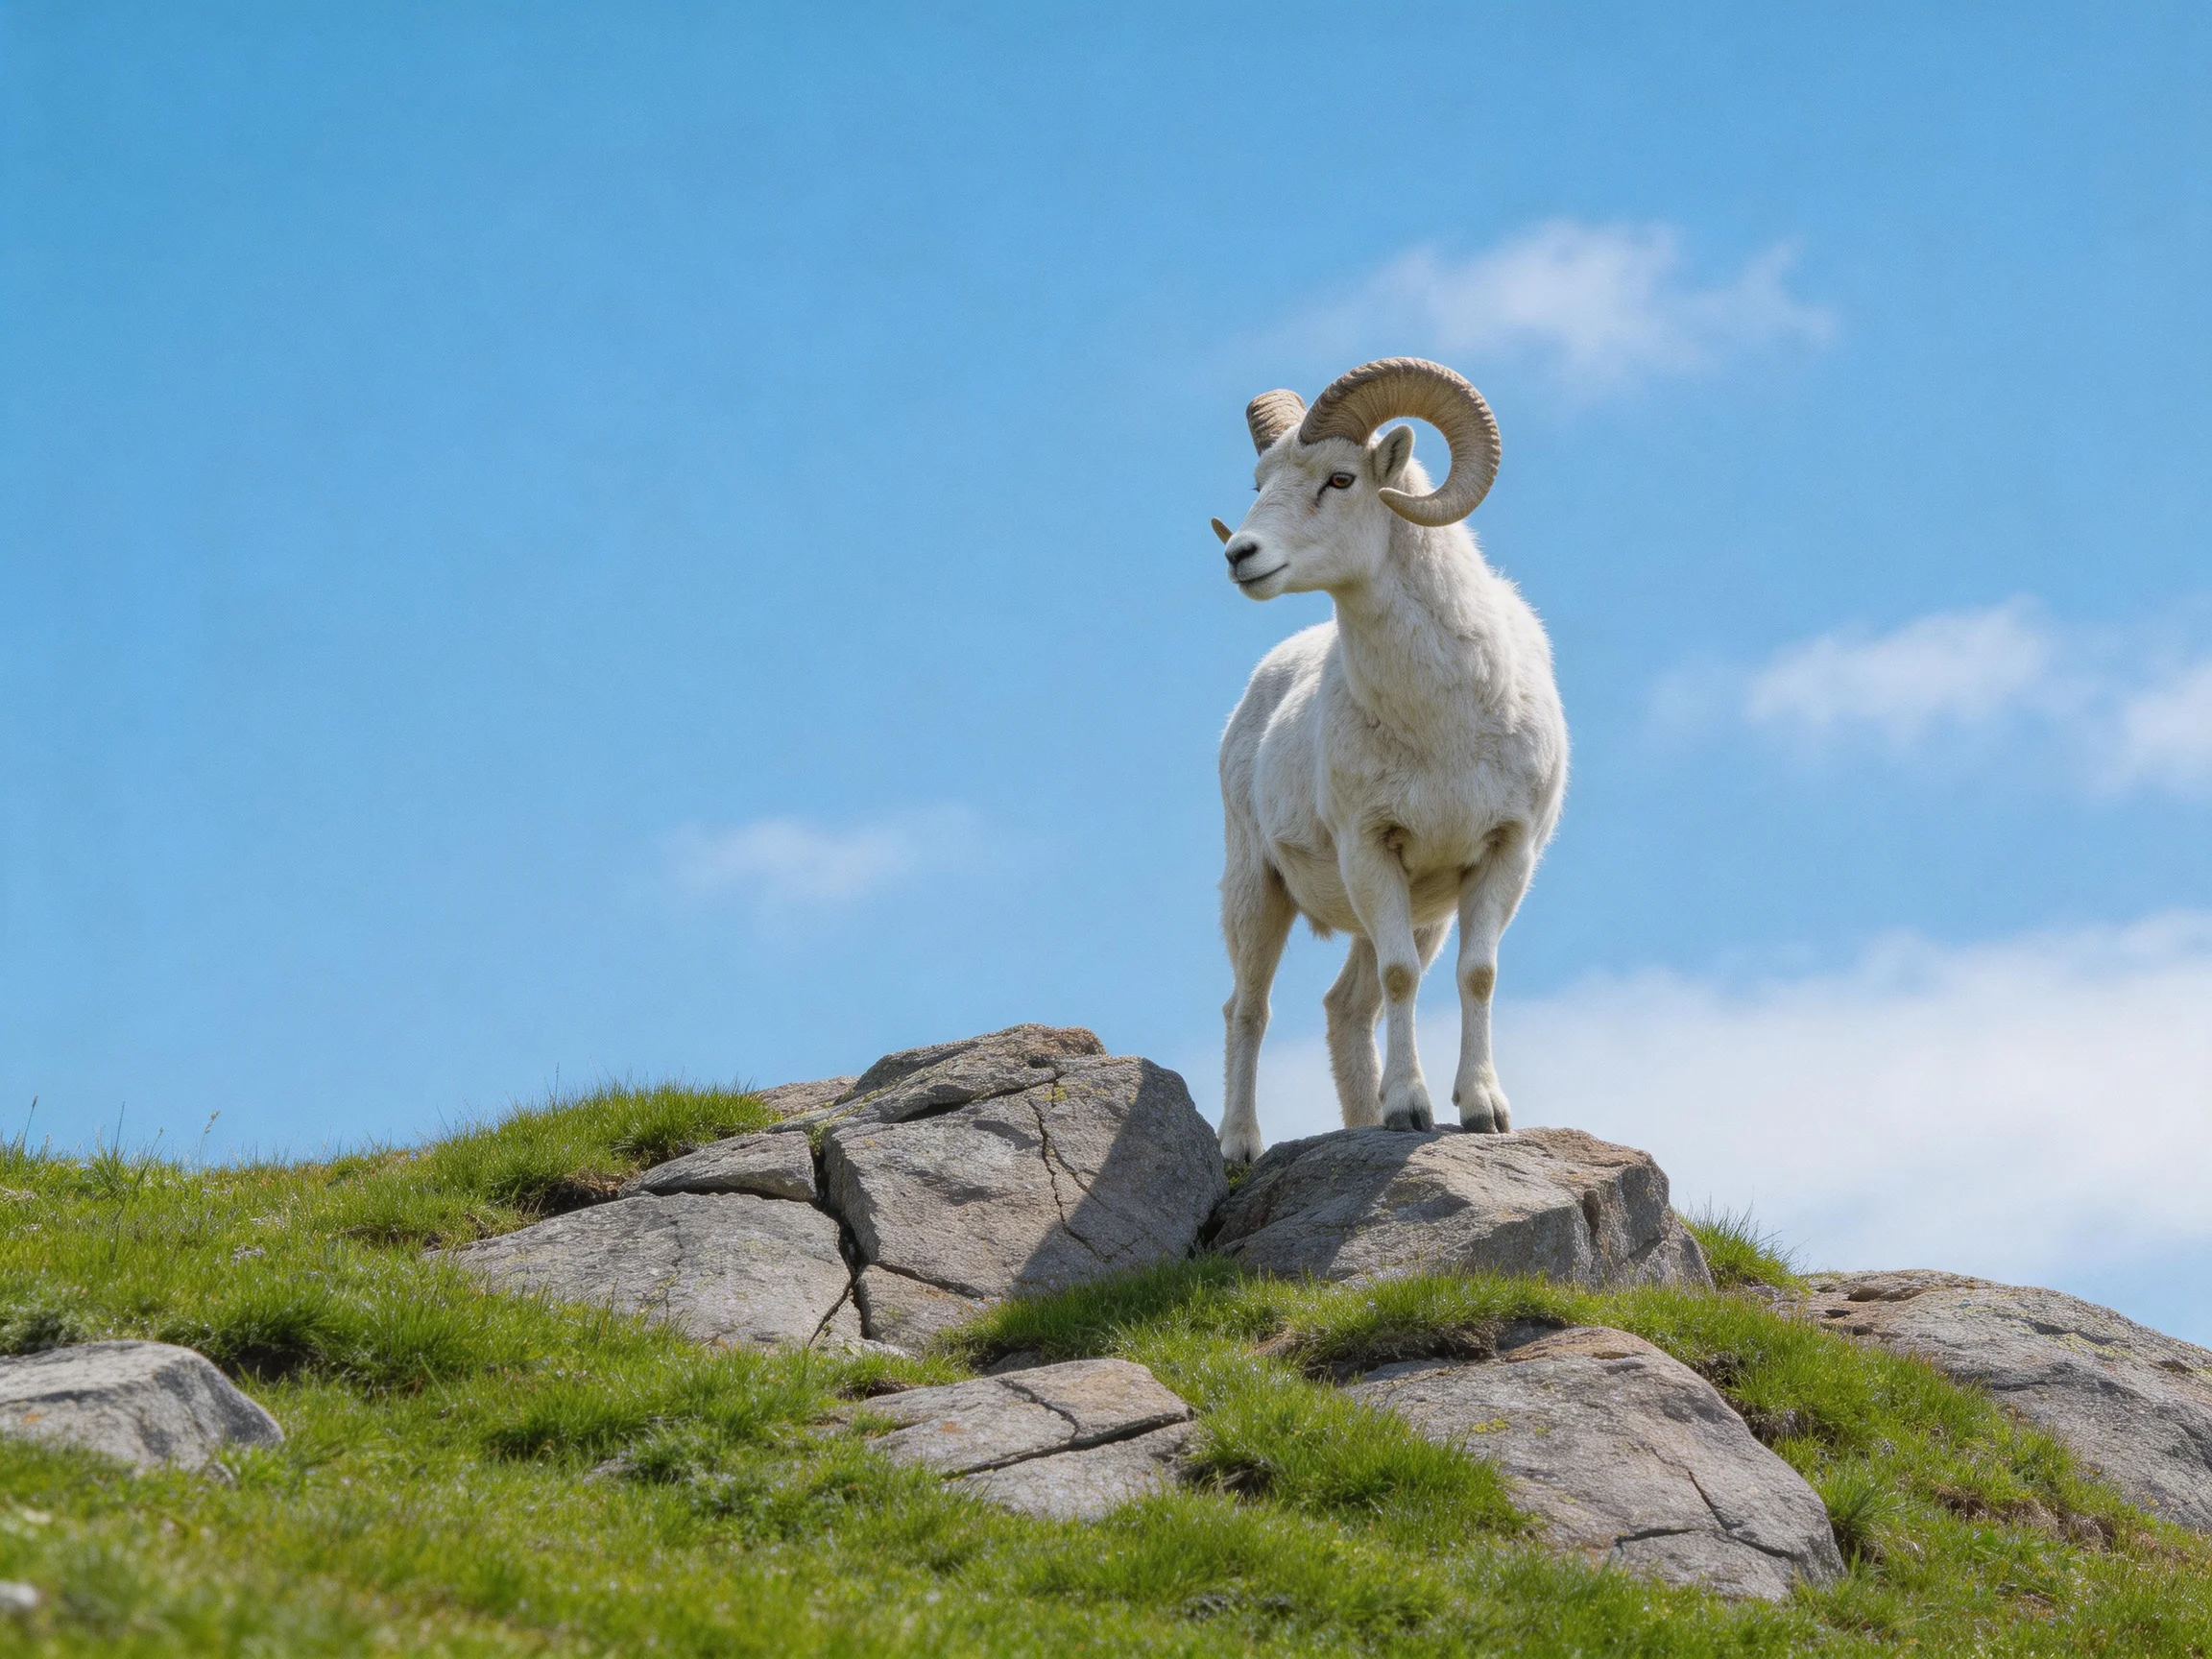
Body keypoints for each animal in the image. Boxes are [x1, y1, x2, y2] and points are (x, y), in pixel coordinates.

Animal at [1210, 358, 1568, 1163]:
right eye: (1260, 480)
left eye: (1341, 479)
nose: (1240, 556)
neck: (1441, 725)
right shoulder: (1371, 849)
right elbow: (1403, 979)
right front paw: (1409, 1108)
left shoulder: (1503, 855)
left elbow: (1478, 974)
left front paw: (1482, 1110)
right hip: (1257, 889)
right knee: (1248, 1008)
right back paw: (1240, 1147)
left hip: (1421, 908)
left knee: (1345, 1007)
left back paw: (1354, 1124)